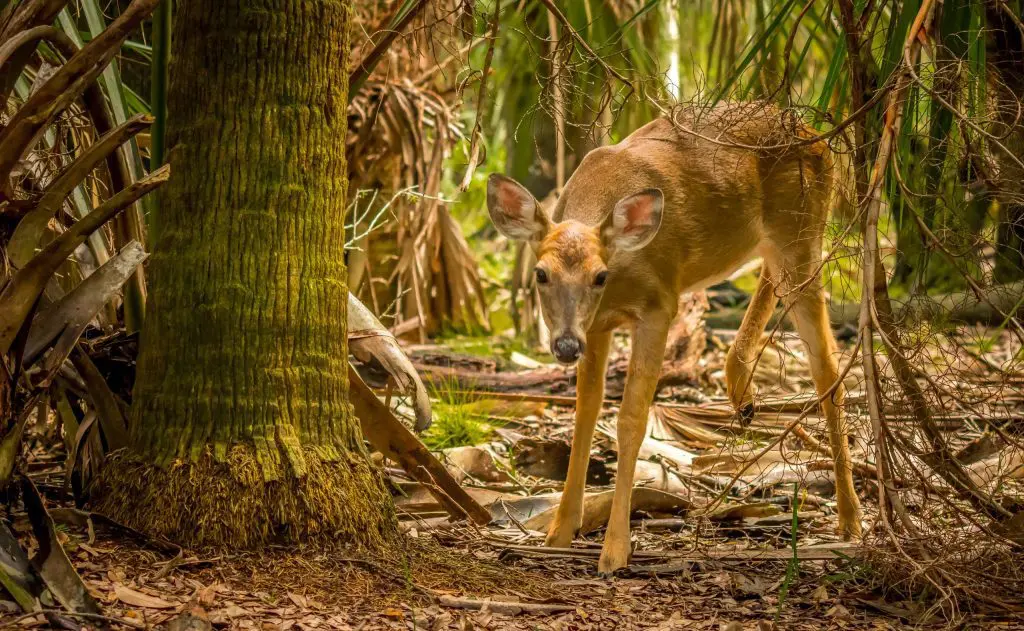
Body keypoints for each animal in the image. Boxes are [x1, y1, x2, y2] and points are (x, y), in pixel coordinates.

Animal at [486, 103, 862, 574]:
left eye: (599, 276)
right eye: (540, 274)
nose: (565, 346)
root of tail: (814, 134)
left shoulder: (659, 304)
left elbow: (631, 420)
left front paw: (615, 550)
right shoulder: (597, 325)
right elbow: (585, 414)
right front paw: (558, 533)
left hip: (803, 232)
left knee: (829, 371)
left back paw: (851, 523)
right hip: (778, 244)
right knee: (770, 278)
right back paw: (743, 394)